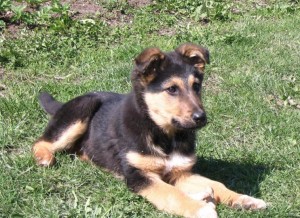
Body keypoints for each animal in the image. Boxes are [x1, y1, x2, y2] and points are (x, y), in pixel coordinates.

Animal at [33, 43, 268, 217]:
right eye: (172, 89)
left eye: (196, 86)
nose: (201, 118)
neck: (164, 134)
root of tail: (64, 105)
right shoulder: (138, 175)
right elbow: (172, 193)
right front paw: (200, 209)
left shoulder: (181, 171)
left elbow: (216, 184)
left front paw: (244, 199)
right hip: (82, 109)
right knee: (41, 141)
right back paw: (44, 157)